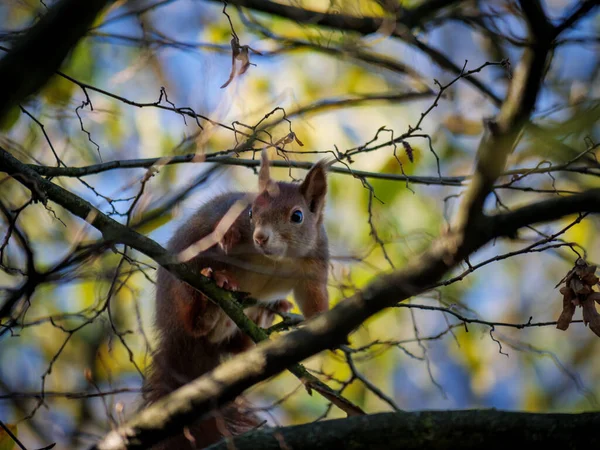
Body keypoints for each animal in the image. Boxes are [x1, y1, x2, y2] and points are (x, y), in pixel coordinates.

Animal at [143, 152, 330, 450]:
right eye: (251, 212)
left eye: (297, 216)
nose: (260, 237)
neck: (275, 259)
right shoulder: (227, 213)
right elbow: (220, 221)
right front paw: (228, 236)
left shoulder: (314, 265)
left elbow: (313, 299)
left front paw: (321, 321)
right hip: (179, 285)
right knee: (194, 318)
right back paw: (211, 296)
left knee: (235, 342)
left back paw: (266, 315)